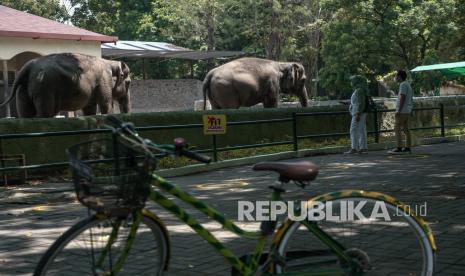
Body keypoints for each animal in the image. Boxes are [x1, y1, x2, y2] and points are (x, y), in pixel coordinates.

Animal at [2, 52, 132, 117]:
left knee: (26, 114)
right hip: (44, 88)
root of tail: (27, 67)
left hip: (23, 89)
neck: (109, 62)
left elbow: (89, 109)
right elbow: (106, 105)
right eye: (128, 82)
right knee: (45, 113)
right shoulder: (104, 80)